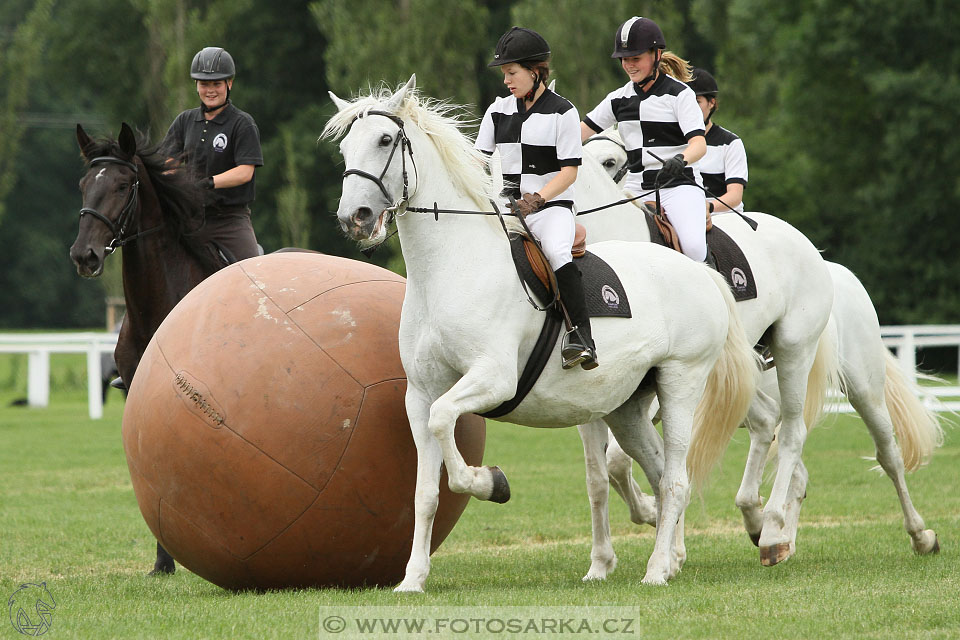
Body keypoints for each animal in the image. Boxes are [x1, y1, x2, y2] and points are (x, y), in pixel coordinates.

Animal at [326, 77, 760, 592]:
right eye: (345, 147)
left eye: (385, 140)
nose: (355, 217)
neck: (450, 267)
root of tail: (700, 272)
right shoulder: (420, 392)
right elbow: (427, 490)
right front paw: (413, 580)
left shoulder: (492, 380)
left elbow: (446, 432)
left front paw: (491, 482)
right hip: (627, 407)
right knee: (657, 474)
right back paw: (669, 555)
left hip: (680, 386)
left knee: (675, 478)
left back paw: (656, 570)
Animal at [580, 129, 940, 564]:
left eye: (612, 162)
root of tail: (827, 266)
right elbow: (606, 472)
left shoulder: (660, 388)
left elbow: (624, 461)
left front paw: (662, 532)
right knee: (793, 465)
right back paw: (778, 536)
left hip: (858, 384)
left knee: (884, 452)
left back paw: (918, 534)